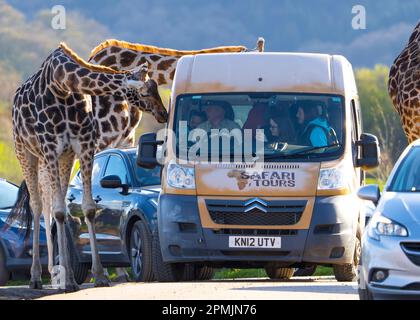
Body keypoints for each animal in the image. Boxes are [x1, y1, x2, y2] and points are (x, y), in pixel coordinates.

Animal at [8, 43, 159, 292]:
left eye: (156, 86)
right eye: (145, 91)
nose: (163, 113)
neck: (63, 84)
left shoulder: (82, 145)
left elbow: (87, 208)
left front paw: (99, 276)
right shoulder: (51, 147)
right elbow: (59, 210)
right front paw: (70, 279)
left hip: (63, 158)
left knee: (55, 205)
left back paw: (61, 273)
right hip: (26, 152)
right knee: (38, 205)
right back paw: (38, 277)